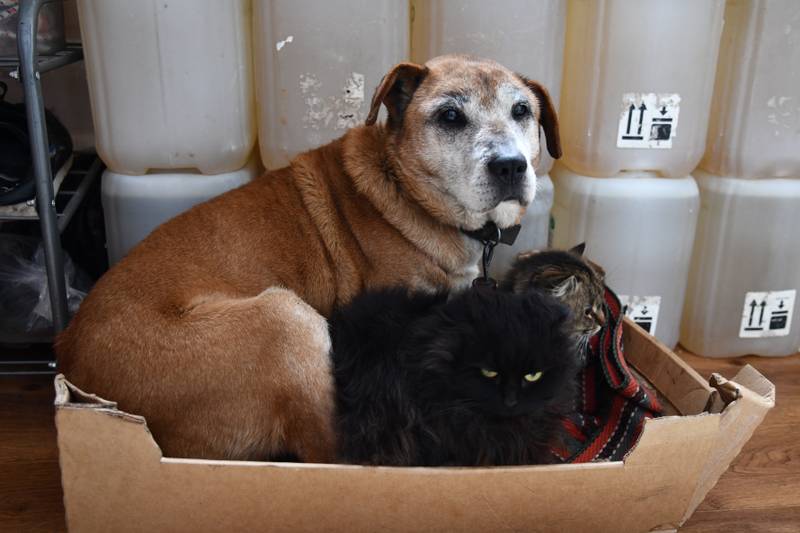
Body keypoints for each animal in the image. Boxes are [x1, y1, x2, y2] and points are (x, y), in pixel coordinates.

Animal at [56, 55, 561, 461]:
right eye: (451, 116)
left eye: (521, 111)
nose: (511, 166)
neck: (408, 191)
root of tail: (74, 363)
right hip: (285, 319)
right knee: (333, 452)